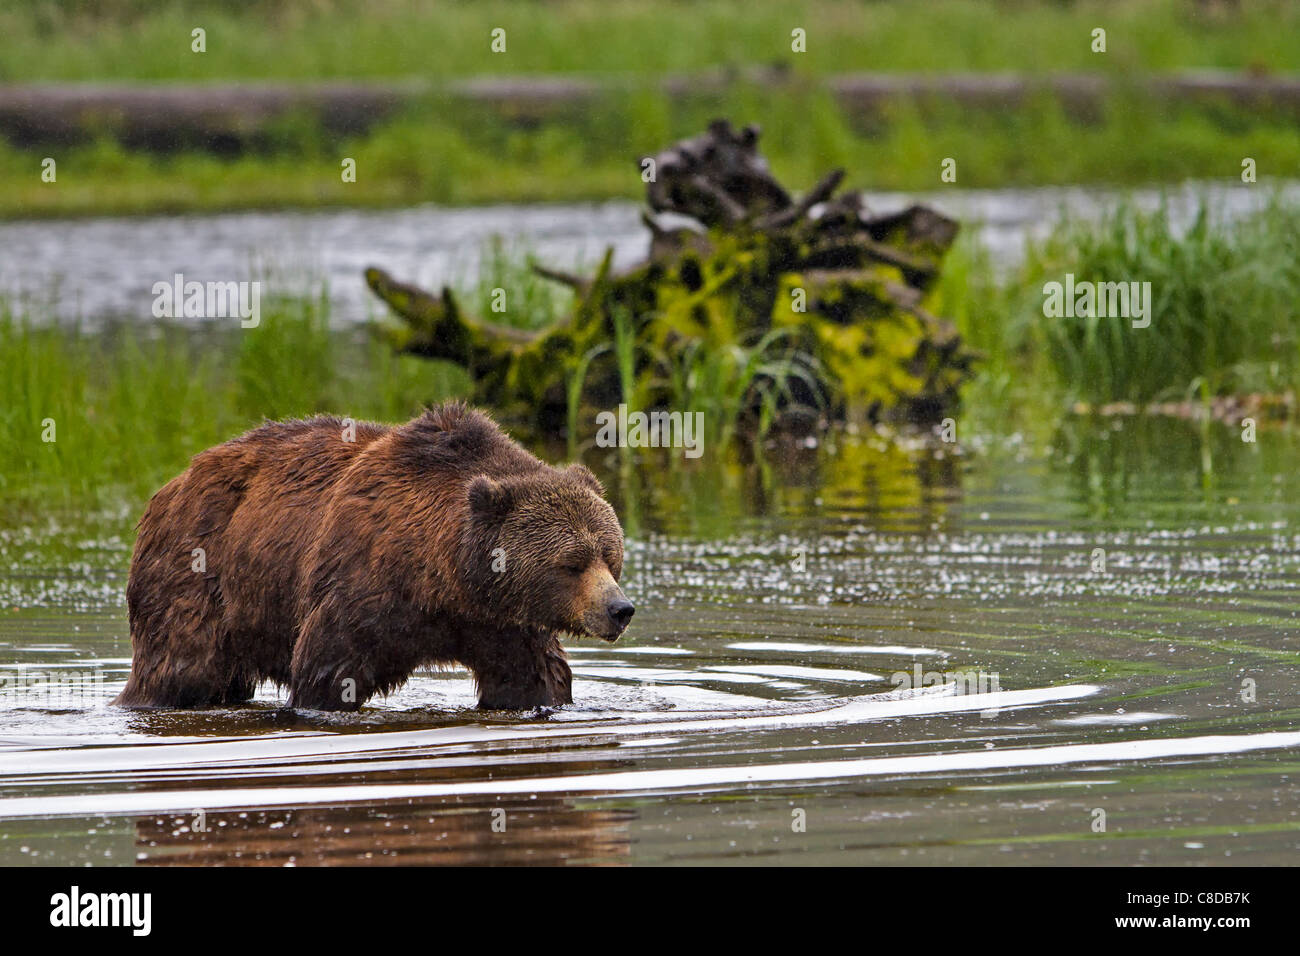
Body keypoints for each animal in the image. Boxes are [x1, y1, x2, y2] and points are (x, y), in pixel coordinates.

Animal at [114, 403, 631, 712]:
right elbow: (327, 670)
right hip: (198, 572)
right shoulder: (362, 582)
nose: (619, 609)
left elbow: (532, 676)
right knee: (181, 666)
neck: (442, 576)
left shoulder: (500, 622)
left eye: (610, 556)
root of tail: (172, 485)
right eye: (572, 563)